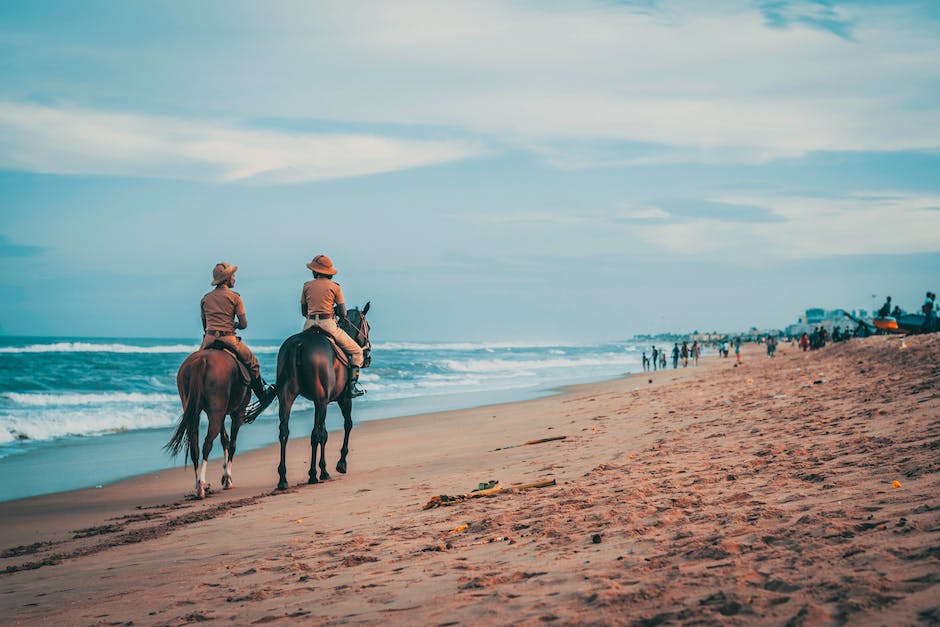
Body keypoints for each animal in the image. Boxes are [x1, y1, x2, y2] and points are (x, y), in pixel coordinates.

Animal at [165, 348, 252, 500]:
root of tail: (202, 360)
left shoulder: (222, 414)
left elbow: (225, 440)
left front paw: (226, 476)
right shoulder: (238, 413)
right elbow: (232, 444)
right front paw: (227, 478)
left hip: (194, 412)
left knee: (195, 447)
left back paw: (199, 485)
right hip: (217, 413)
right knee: (207, 444)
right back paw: (201, 484)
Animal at [274, 304, 370, 490]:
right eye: (368, 327)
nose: (368, 356)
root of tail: (298, 344)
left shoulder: (323, 401)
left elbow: (325, 433)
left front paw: (324, 469)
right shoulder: (343, 400)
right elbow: (347, 425)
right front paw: (340, 464)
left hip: (287, 397)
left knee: (284, 432)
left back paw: (283, 479)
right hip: (321, 402)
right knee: (314, 435)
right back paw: (312, 475)